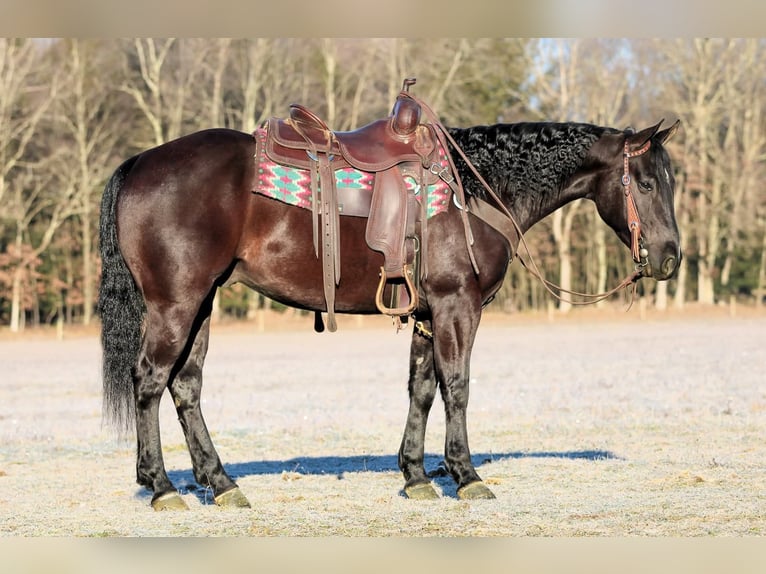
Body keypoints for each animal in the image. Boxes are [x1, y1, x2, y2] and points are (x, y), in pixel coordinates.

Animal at [98, 107, 681, 510]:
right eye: (647, 182)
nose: (671, 257)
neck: (473, 189)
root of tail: (140, 162)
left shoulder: (427, 315)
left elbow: (422, 389)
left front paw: (417, 475)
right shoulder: (457, 306)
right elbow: (457, 385)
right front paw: (466, 475)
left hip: (201, 304)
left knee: (186, 386)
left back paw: (219, 484)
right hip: (176, 304)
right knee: (149, 380)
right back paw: (161, 486)